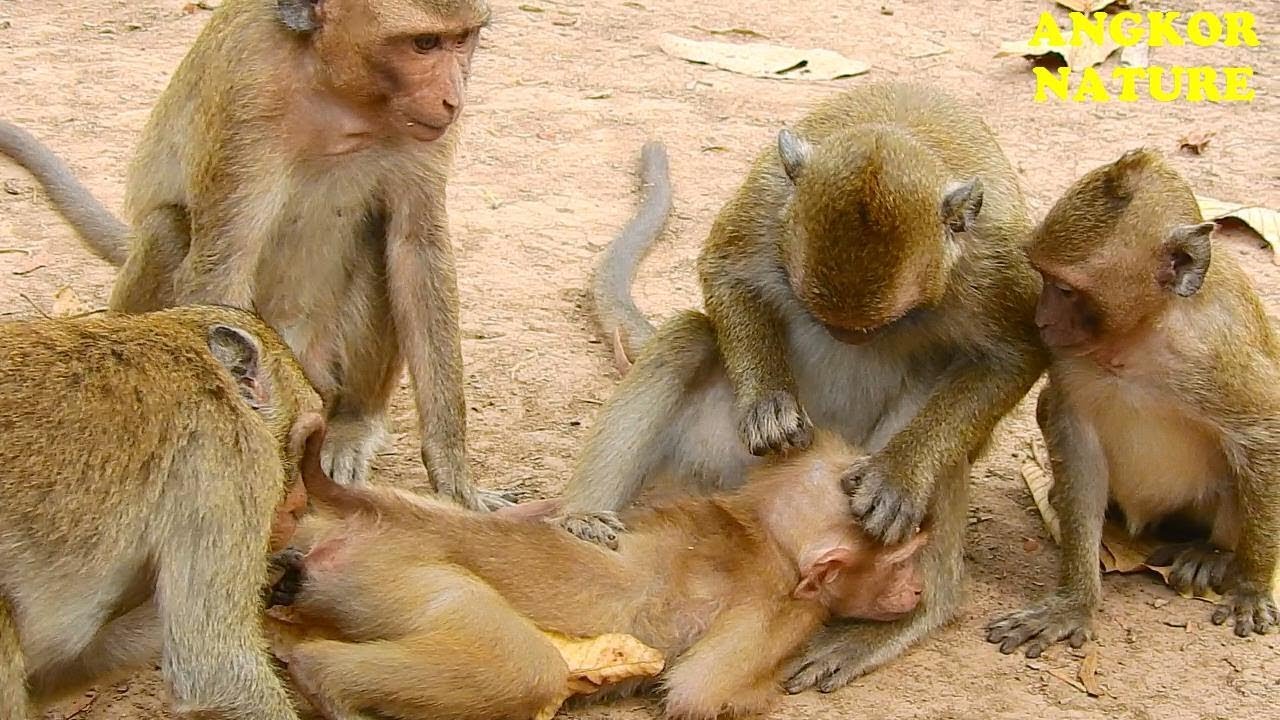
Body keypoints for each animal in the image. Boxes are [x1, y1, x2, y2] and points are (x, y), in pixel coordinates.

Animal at [0, 0, 508, 510]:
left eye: (462, 39)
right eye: (424, 44)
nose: (454, 98)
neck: (339, 90)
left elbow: (415, 247)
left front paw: (454, 478)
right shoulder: (248, 90)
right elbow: (223, 264)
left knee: (377, 241)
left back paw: (350, 426)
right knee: (168, 229)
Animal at [266, 431, 930, 720]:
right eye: (904, 560)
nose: (918, 589)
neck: (764, 531)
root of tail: (383, 513)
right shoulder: (785, 609)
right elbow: (699, 693)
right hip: (392, 580)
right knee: (525, 670)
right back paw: (320, 677)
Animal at [554, 82, 1048, 691]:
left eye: (871, 329)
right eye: (824, 317)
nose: (846, 336)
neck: (896, 130)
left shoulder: (993, 258)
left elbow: (1013, 357)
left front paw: (899, 476)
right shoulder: (771, 198)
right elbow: (725, 270)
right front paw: (769, 403)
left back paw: (912, 614)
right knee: (690, 335)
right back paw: (582, 519)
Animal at [986, 148, 1280, 657]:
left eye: (1067, 289)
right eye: (1042, 276)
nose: (1041, 320)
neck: (1141, 336)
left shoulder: (1218, 356)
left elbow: (1265, 430)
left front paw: (1252, 586)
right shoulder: (1068, 362)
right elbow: (1072, 432)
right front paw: (1075, 601)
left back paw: (1214, 553)